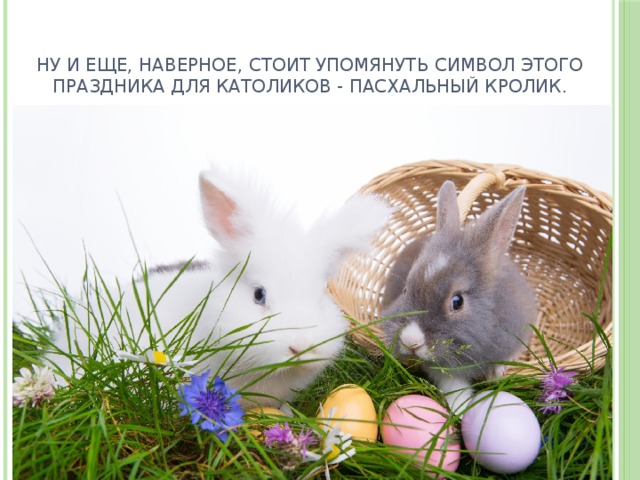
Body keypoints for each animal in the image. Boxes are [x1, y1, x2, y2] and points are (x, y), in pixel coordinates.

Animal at [381, 180, 537, 414]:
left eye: (457, 302)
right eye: (406, 290)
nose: (410, 341)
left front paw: (497, 372)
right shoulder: (442, 367)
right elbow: (452, 384)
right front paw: (460, 409)